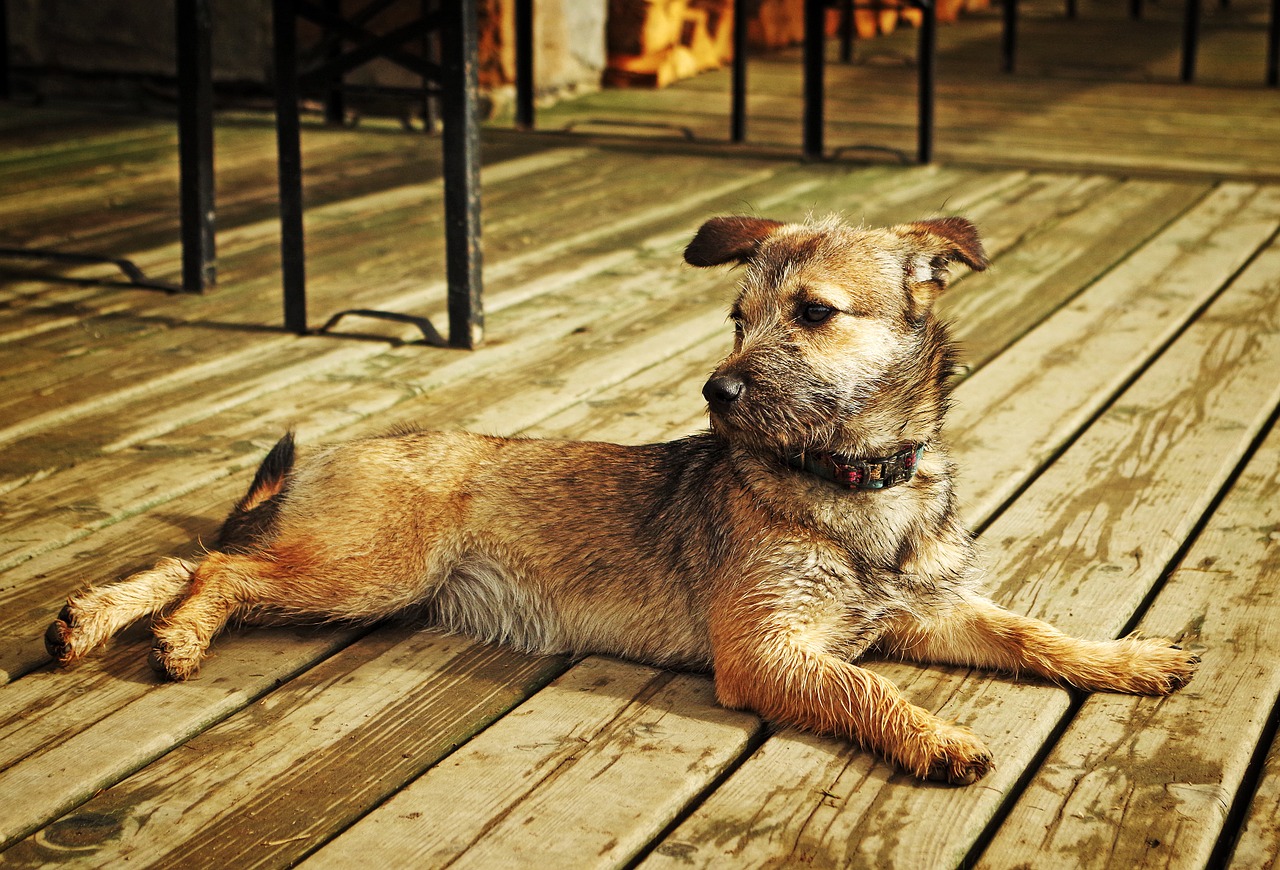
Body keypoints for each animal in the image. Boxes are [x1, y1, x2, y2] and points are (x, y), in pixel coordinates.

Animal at [42, 213, 1198, 783]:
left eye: (814, 314)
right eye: (735, 318)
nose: (717, 393)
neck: (850, 480)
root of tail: (343, 448)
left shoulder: (932, 612)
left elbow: (1033, 632)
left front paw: (1129, 659)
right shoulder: (769, 652)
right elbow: (864, 689)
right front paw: (934, 737)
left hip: (337, 559)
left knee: (191, 557)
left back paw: (88, 623)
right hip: (364, 568)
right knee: (220, 567)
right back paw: (177, 635)